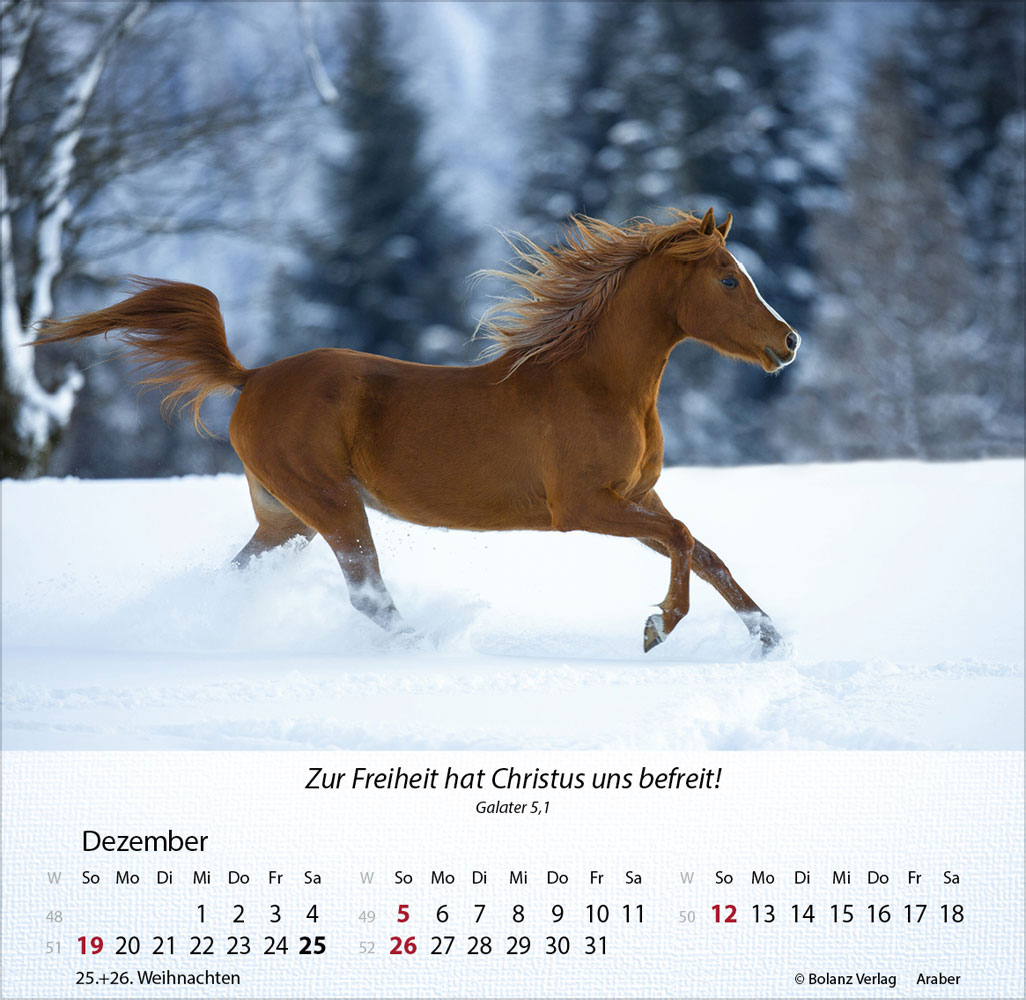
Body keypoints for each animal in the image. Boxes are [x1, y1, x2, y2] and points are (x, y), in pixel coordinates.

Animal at [36, 208, 799, 653]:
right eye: (729, 280)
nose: (788, 343)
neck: (597, 384)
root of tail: (249, 378)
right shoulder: (583, 507)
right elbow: (684, 541)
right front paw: (657, 627)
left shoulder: (638, 497)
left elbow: (704, 550)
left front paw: (770, 637)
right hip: (332, 503)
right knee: (366, 594)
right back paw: (431, 641)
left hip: (286, 518)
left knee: (241, 574)